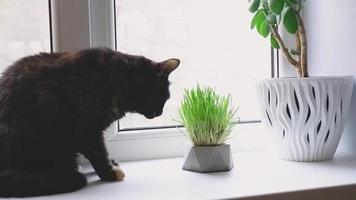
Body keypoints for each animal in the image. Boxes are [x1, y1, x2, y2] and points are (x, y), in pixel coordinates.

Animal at [0, 47, 179, 197]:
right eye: (164, 97)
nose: (160, 113)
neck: (121, 79)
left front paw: (112, 164)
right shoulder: (87, 129)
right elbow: (99, 153)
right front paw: (110, 173)